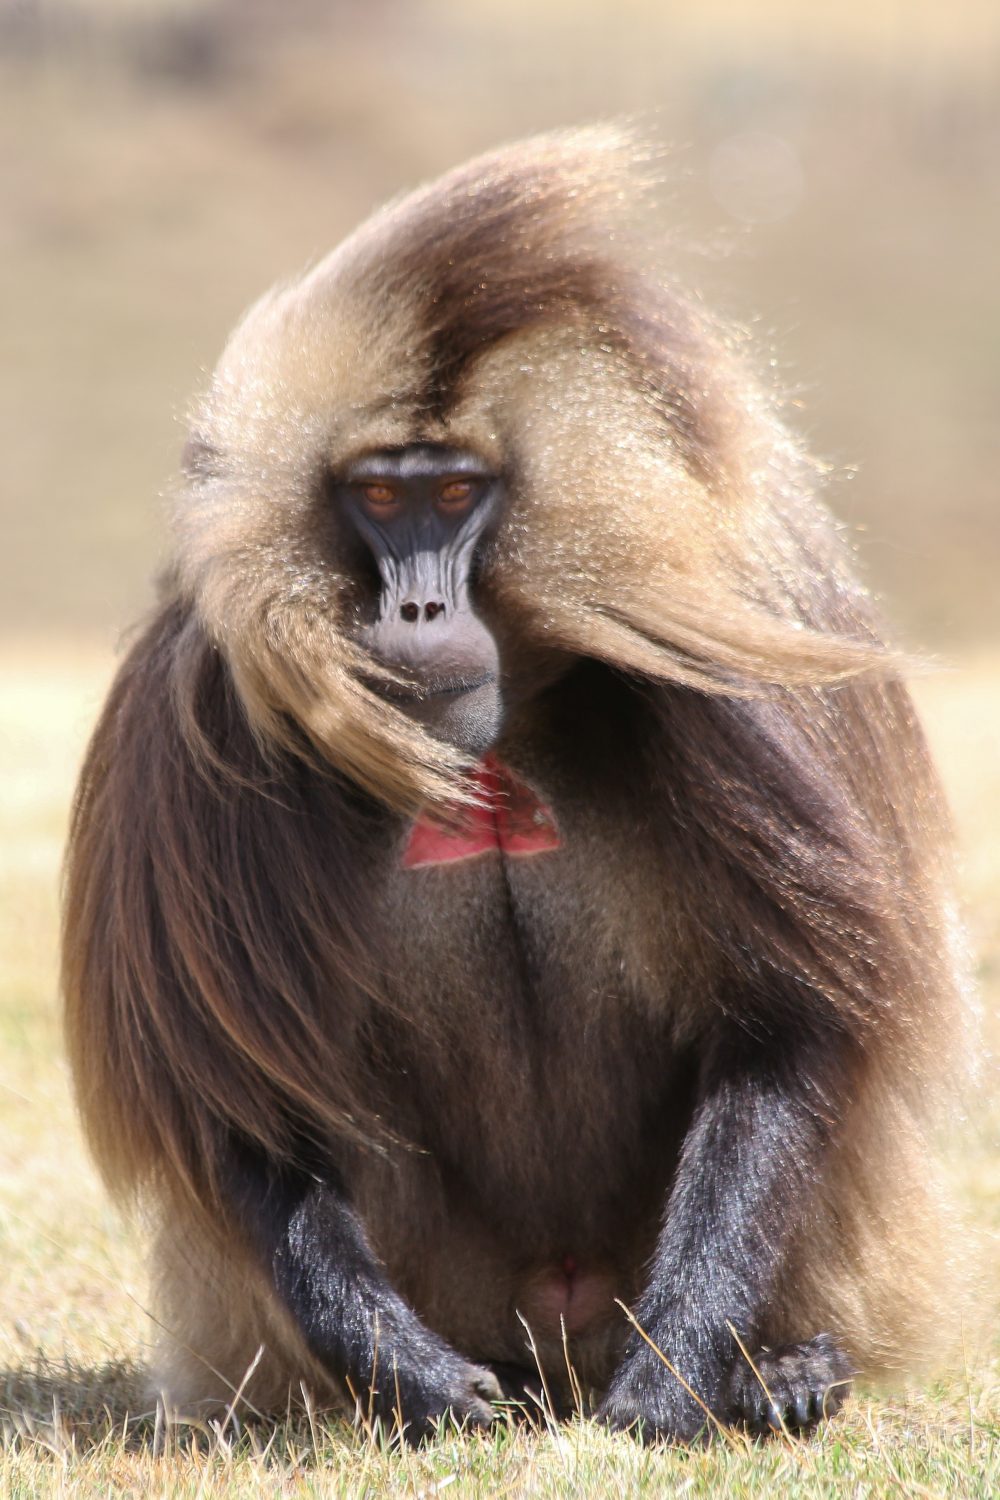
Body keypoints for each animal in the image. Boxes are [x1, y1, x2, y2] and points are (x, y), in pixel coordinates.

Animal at [62, 127, 968, 1444]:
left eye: (455, 493)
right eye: (376, 496)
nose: (417, 611)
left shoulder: (719, 664)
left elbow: (790, 1017)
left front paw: (676, 1378)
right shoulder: (206, 707)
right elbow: (238, 1083)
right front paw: (413, 1376)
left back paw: (783, 1372)